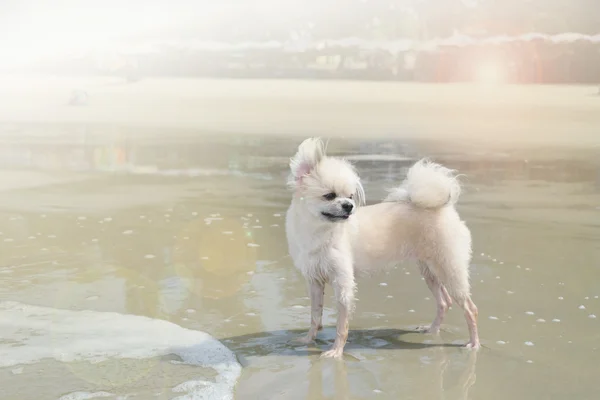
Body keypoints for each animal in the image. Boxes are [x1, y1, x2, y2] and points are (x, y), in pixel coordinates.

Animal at [284, 138, 478, 360]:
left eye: (350, 196)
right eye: (329, 196)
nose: (349, 205)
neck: (319, 230)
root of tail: (443, 209)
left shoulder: (343, 284)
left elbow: (342, 325)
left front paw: (336, 351)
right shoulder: (315, 281)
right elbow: (315, 315)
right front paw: (308, 340)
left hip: (449, 269)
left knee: (470, 308)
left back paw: (474, 343)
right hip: (430, 270)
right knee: (444, 302)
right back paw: (432, 331)